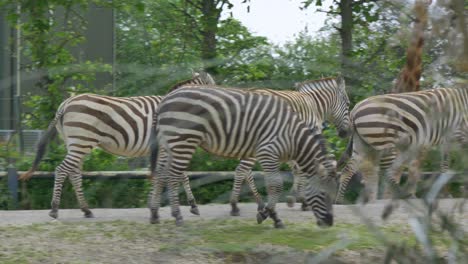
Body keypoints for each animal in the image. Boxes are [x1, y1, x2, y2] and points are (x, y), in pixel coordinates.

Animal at [18, 71, 216, 219]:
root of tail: (65, 104)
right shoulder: (167, 146)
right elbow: (181, 175)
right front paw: (191, 205)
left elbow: (163, 173)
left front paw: (154, 203)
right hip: (82, 141)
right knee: (62, 170)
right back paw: (54, 209)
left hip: (75, 142)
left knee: (73, 172)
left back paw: (86, 210)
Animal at [148, 85, 338, 228]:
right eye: (323, 194)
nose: (329, 223)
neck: (292, 136)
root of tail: (165, 99)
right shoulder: (268, 152)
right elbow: (276, 186)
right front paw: (270, 216)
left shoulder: (272, 157)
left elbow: (273, 184)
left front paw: (269, 213)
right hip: (183, 140)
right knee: (173, 176)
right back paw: (177, 216)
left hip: (169, 142)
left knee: (162, 173)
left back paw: (155, 214)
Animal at [227, 77, 352, 217]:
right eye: (348, 104)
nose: (346, 133)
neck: (314, 105)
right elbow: (304, 169)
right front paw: (302, 201)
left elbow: (297, 168)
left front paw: (294, 199)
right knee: (241, 170)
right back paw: (234, 206)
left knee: (246, 172)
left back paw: (259, 204)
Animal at [334, 85, 468, 203]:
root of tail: (355, 109)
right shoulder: (459, 135)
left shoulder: (448, 140)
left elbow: (445, 166)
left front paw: (447, 193)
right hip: (384, 144)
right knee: (387, 173)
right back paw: (402, 196)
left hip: (362, 145)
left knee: (348, 170)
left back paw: (340, 200)